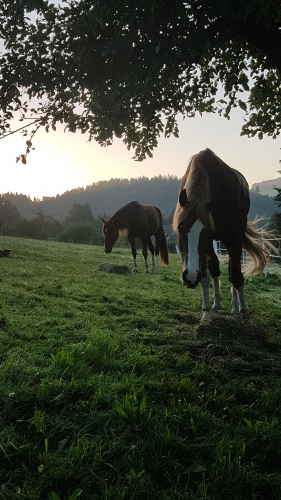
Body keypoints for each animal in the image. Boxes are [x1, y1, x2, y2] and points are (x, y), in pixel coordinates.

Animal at [172, 147, 272, 320]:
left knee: (233, 269)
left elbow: (236, 275)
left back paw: (236, 305)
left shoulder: (232, 238)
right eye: (180, 229)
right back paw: (217, 303)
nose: (190, 278)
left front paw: (242, 309)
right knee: (215, 267)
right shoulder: (207, 245)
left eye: (205, 231)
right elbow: (206, 275)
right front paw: (206, 312)